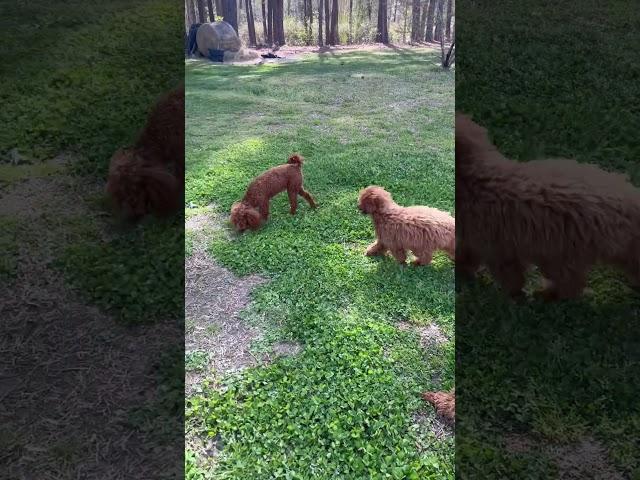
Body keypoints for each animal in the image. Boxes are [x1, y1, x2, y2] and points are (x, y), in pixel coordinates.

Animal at [456, 112, 640, 300]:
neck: (478, 179)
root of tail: (630, 199)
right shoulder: (475, 238)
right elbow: (467, 254)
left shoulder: (496, 243)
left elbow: (509, 273)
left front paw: (514, 294)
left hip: (562, 252)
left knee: (570, 283)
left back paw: (547, 295)